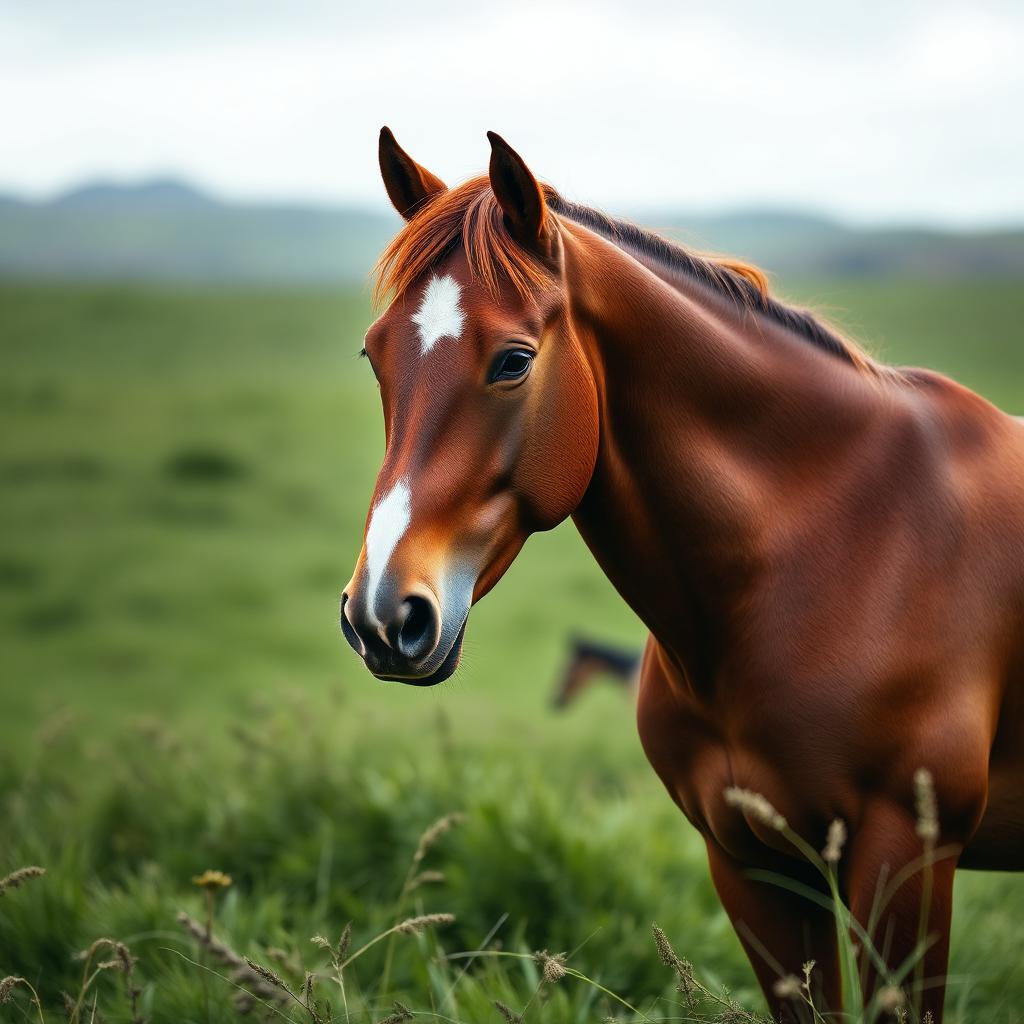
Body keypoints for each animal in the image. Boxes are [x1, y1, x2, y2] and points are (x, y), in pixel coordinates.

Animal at [340, 127, 1024, 1021]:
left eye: (514, 361)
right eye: (374, 356)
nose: (383, 616)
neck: (837, 548)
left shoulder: (903, 858)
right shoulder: (754, 864)